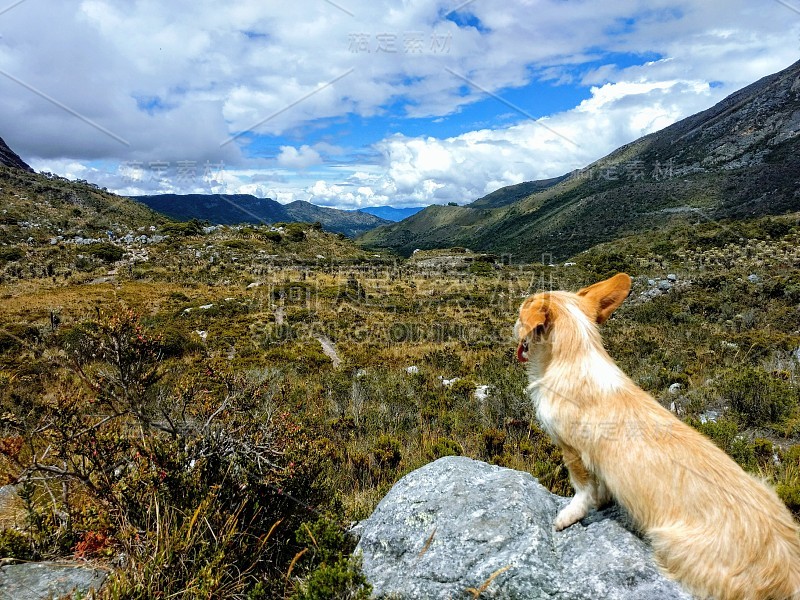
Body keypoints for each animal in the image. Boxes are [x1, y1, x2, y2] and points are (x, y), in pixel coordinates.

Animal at [516, 276, 796, 600]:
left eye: (524, 308)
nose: (515, 320)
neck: (576, 356)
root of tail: (787, 565)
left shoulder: (572, 451)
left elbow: (582, 490)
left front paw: (568, 516)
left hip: (670, 542)